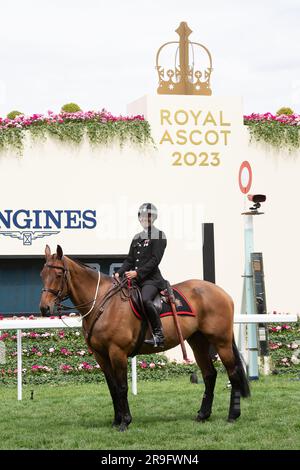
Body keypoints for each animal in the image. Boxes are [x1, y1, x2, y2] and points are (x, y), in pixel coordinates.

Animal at [39, 244, 251, 432]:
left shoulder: (117, 353)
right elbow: (112, 388)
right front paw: (116, 421)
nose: (44, 308)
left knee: (232, 373)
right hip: (198, 342)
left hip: (221, 341)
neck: (102, 303)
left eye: (58, 275)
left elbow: (122, 387)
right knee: (209, 374)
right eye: (42, 274)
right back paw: (203, 415)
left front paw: (125, 422)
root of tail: (221, 292)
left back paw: (233, 415)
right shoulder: (101, 355)